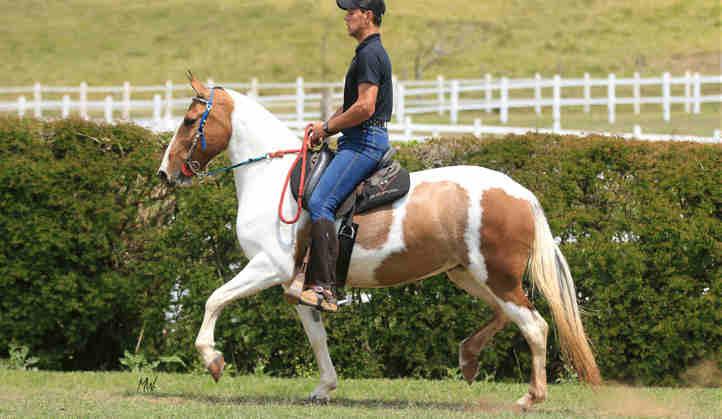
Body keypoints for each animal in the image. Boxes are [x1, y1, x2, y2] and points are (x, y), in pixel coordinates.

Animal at [158, 74, 600, 410]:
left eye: (189, 120)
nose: (165, 173)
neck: (277, 179)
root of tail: (523, 195)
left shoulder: (270, 267)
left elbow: (214, 299)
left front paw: (213, 360)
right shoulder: (296, 283)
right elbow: (316, 335)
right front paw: (324, 388)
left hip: (496, 277)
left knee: (534, 325)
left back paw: (530, 396)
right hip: (468, 276)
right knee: (507, 315)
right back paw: (469, 358)